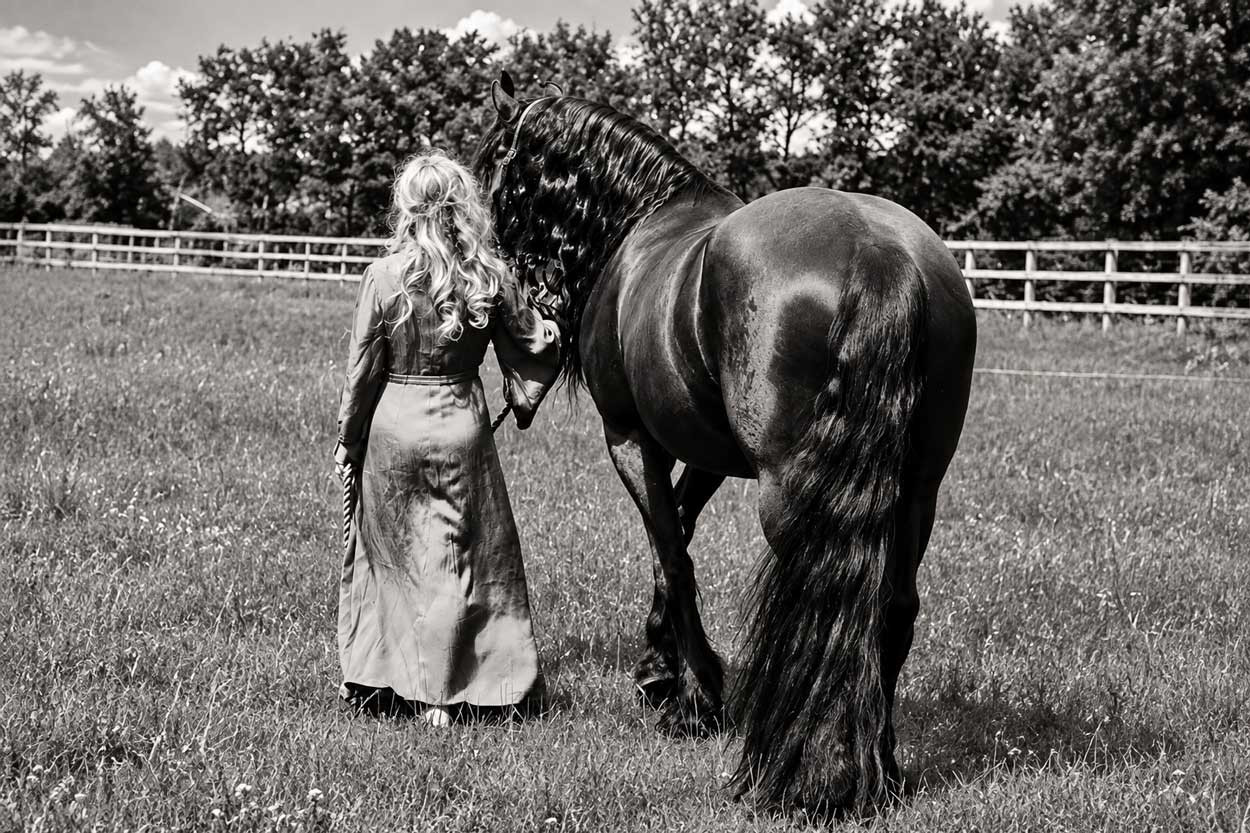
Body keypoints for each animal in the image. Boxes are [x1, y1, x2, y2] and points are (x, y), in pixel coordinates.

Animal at [474, 72, 976, 816]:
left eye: (489, 163)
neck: (643, 221)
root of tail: (878, 254)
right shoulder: (706, 453)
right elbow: (676, 538)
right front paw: (660, 668)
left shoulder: (630, 438)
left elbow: (672, 553)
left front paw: (692, 696)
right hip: (917, 491)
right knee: (893, 608)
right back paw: (878, 765)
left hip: (794, 491)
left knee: (816, 597)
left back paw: (798, 768)